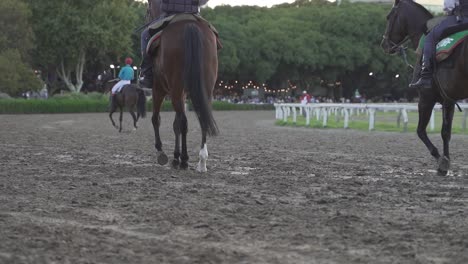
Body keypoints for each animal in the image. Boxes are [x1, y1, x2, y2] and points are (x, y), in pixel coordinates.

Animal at [146, 0, 219, 173]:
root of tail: (189, 25)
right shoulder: (183, 93)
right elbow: (176, 124)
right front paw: (175, 156)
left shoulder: (158, 89)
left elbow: (156, 119)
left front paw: (163, 153)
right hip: (204, 88)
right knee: (202, 118)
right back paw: (201, 162)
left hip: (175, 88)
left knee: (183, 122)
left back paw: (185, 160)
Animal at [380, 0, 468, 175]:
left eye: (389, 16)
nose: (384, 44)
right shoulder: (448, 99)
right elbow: (446, 132)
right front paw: (445, 161)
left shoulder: (426, 97)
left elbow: (420, 131)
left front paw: (441, 161)